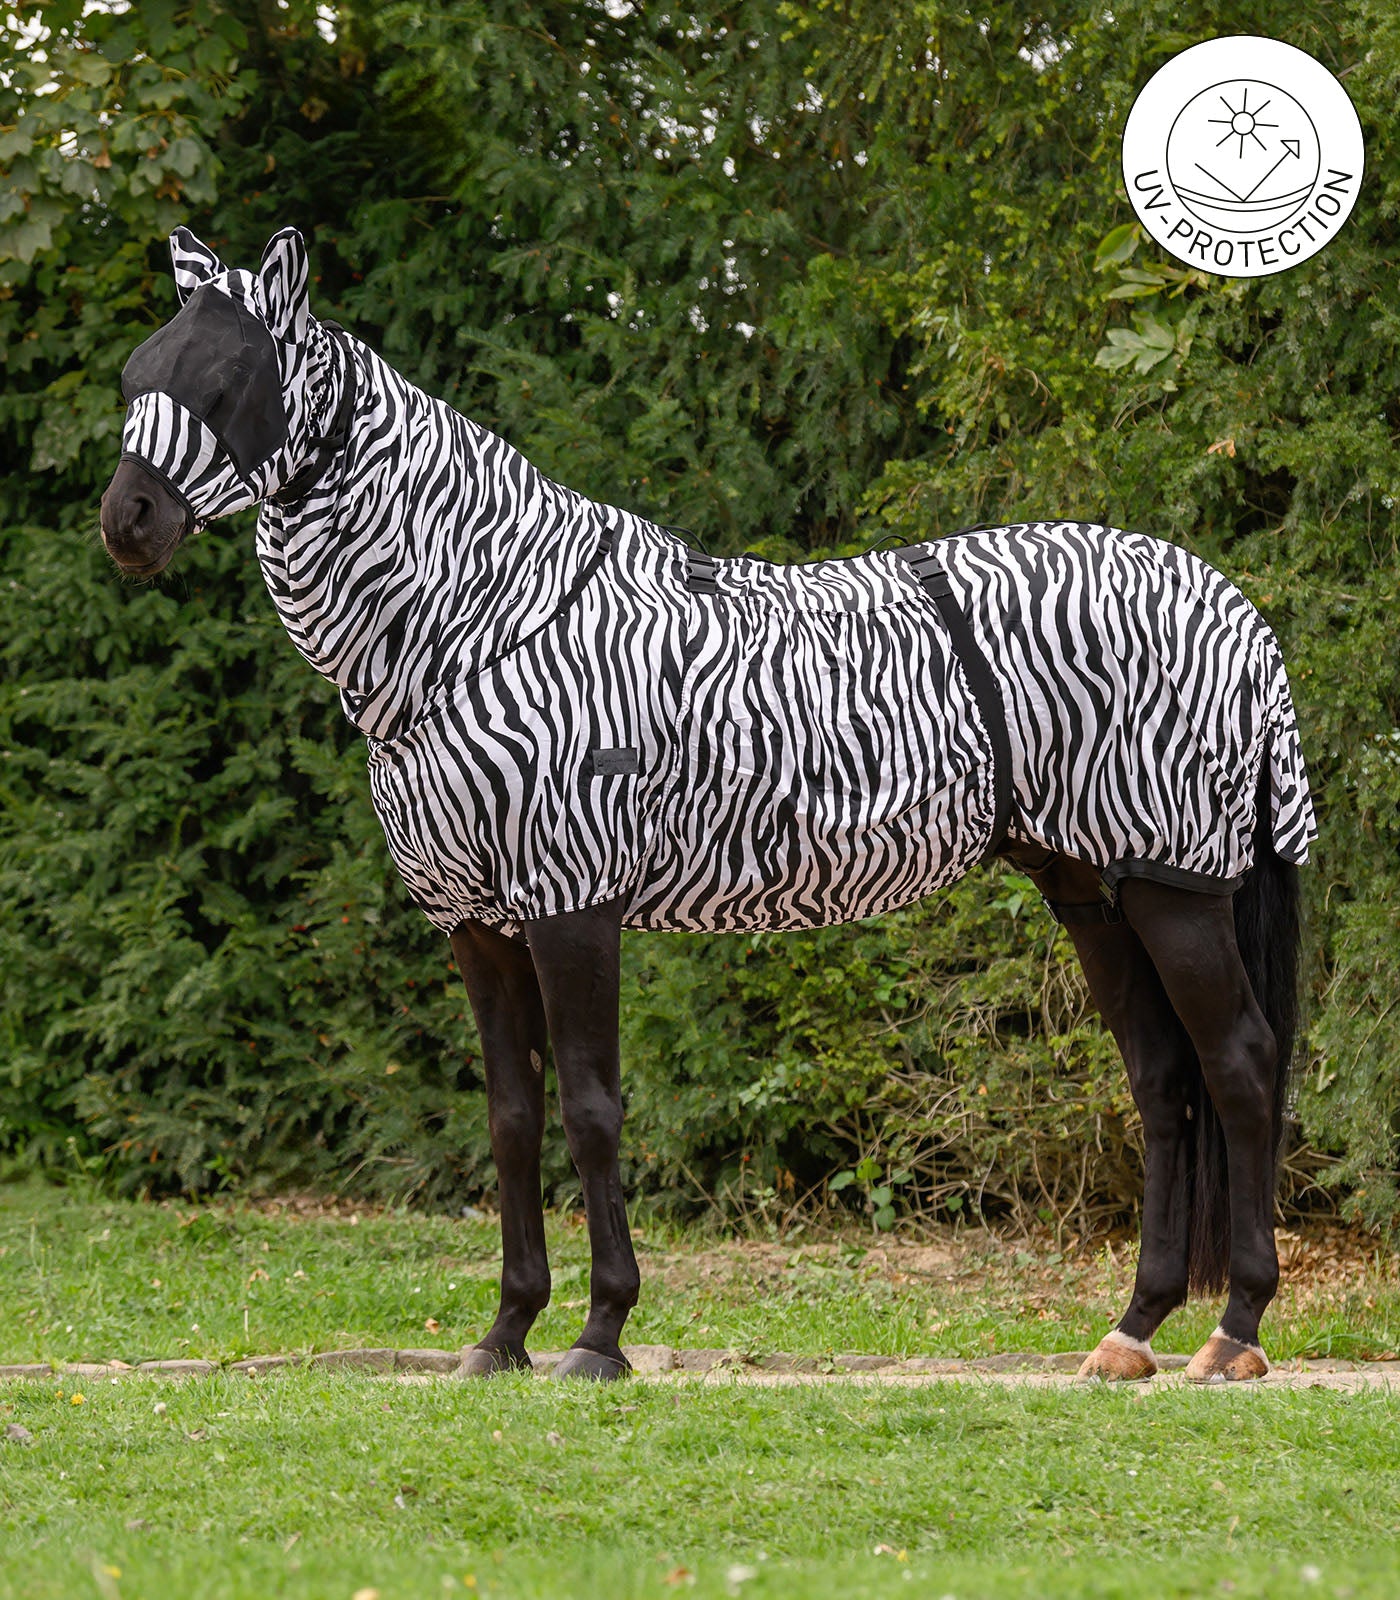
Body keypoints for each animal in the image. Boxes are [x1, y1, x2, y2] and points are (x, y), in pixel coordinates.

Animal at [101, 225, 1317, 1384]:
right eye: (135, 375)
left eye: (228, 380)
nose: (128, 523)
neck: (481, 621)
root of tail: (1232, 606)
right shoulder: (477, 927)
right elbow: (510, 1122)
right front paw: (505, 1333)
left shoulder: (572, 902)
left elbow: (591, 1111)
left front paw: (600, 1334)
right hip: (1092, 887)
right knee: (1162, 1078)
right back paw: (1133, 1330)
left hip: (1174, 887)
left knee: (1241, 1065)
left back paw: (1233, 1330)